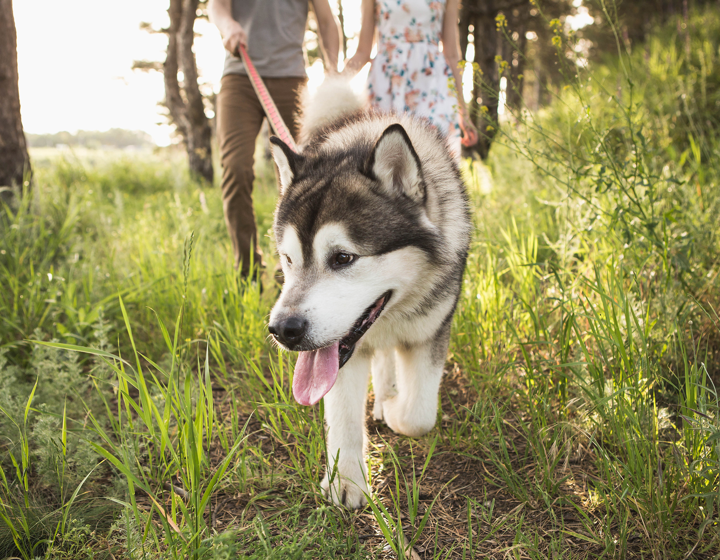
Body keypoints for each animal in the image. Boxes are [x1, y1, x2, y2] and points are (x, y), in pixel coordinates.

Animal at [268, 76, 470, 510]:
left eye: (343, 257)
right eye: (288, 259)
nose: (283, 330)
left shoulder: (431, 332)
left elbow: (418, 417)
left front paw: (394, 410)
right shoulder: (342, 354)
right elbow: (342, 418)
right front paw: (346, 481)